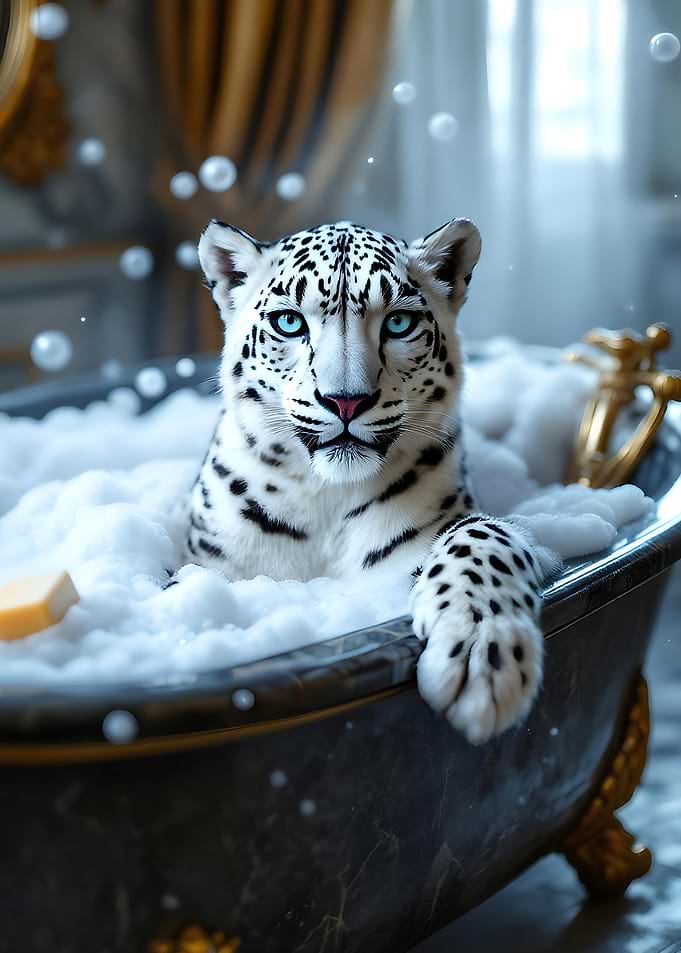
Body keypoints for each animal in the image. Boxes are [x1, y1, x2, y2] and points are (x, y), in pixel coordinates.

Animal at [183, 216, 555, 744]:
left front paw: (484, 653)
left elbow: (481, 534)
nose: (345, 400)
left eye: (398, 323)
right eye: (289, 322)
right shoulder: (206, 569)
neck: (326, 499)